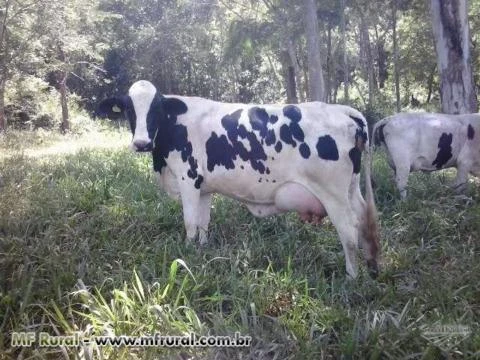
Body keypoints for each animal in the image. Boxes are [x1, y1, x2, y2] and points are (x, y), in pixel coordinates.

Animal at [97, 81, 380, 278]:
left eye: (155, 109)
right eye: (129, 109)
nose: (141, 143)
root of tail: (343, 111)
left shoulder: (188, 179)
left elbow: (190, 224)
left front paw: (186, 256)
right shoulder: (203, 187)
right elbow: (203, 223)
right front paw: (202, 251)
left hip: (333, 194)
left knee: (349, 231)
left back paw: (351, 277)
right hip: (351, 189)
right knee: (364, 221)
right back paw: (372, 267)